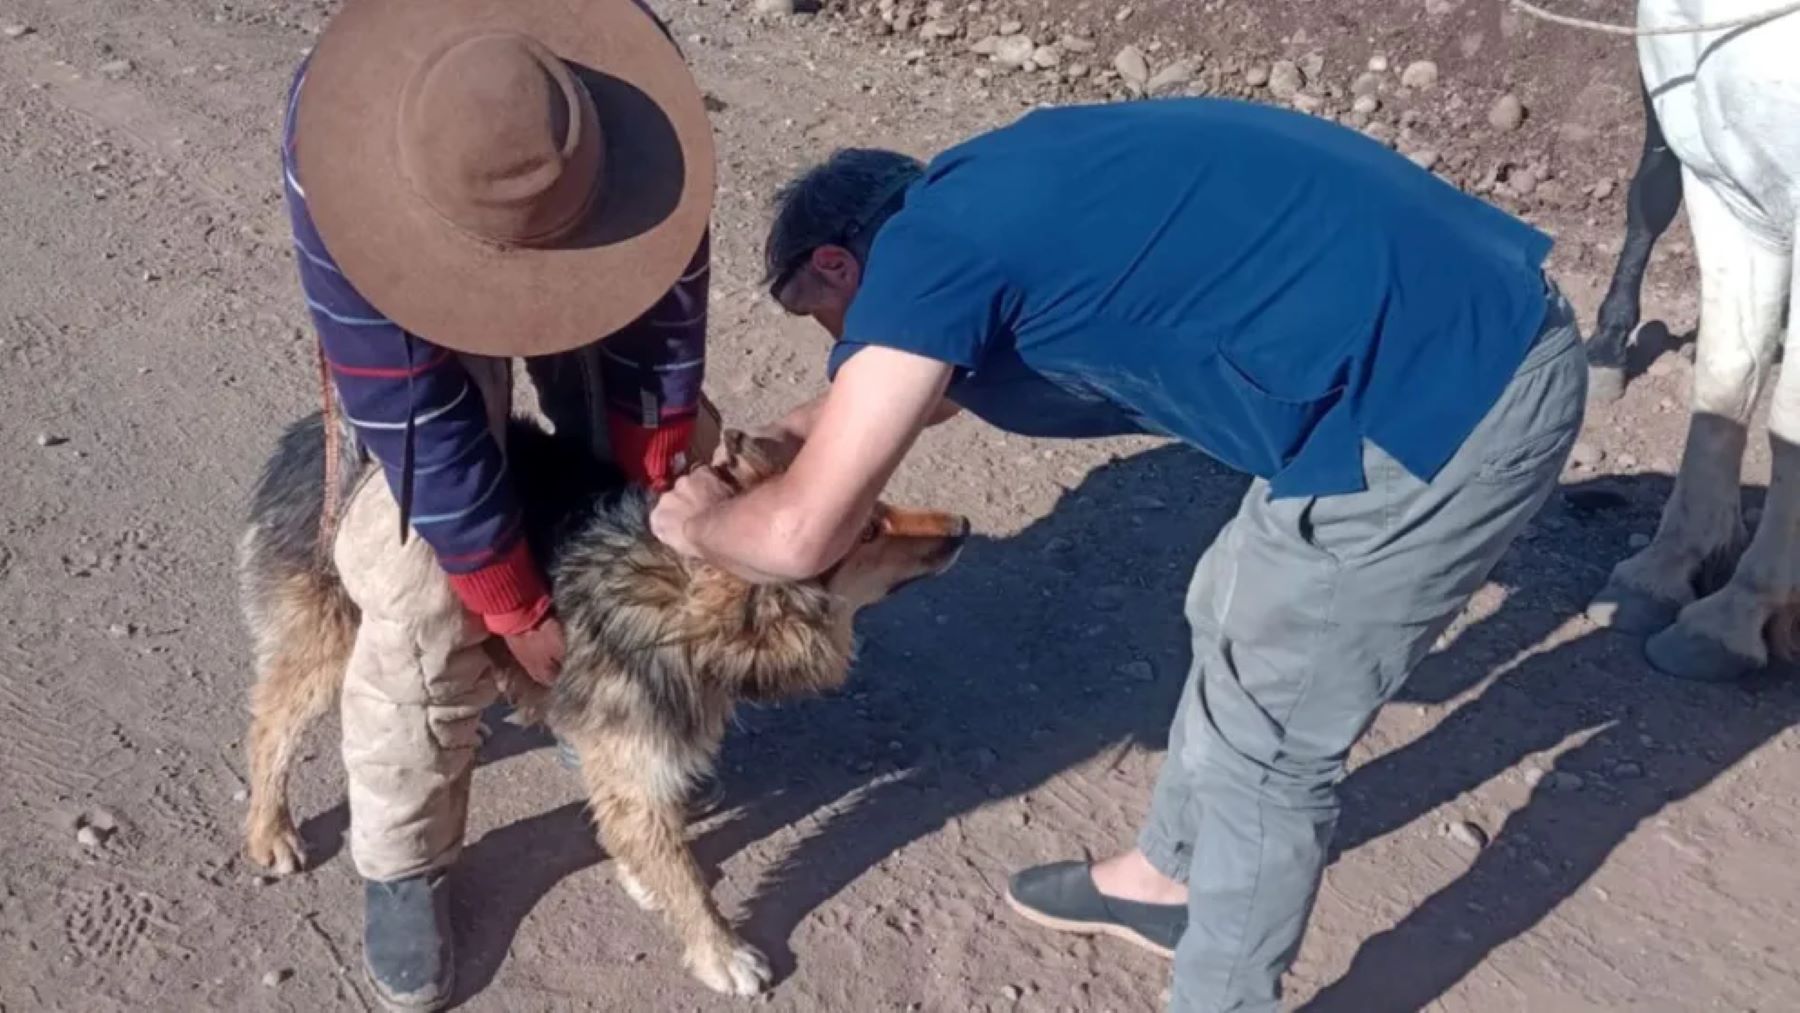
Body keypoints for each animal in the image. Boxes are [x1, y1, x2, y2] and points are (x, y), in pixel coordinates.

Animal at [243, 413, 972, 1000]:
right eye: (868, 529)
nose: (964, 525)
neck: (684, 607)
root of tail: (310, 437)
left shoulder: (628, 748)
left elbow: (642, 826)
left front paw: (641, 873)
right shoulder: (633, 749)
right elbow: (680, 867)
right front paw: (720, 949)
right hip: (338, 627)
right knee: (274, 717)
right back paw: (269, 827)